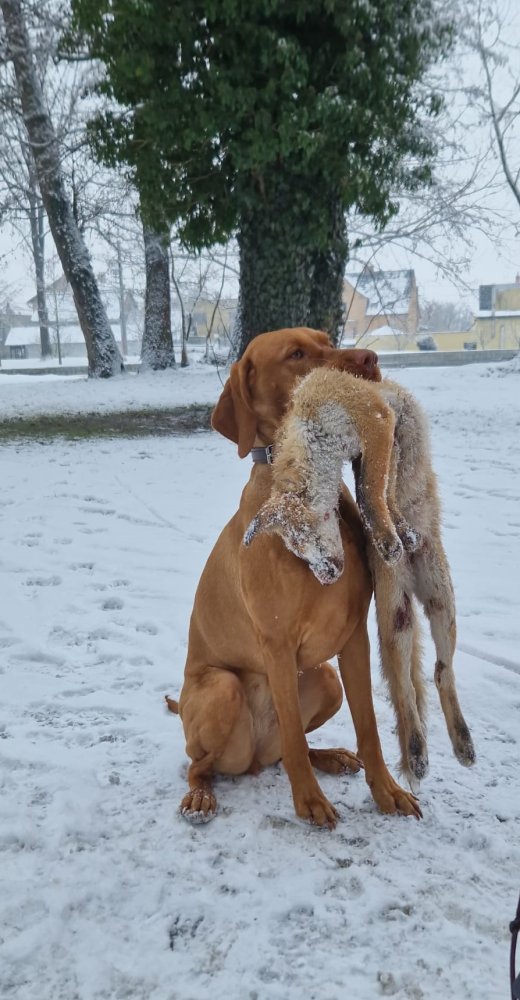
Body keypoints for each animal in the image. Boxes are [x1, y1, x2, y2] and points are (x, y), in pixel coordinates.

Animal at [168, 328, 420, 827]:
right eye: (296, 354)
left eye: (326, 338)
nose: (370, 358)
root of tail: (251, 760)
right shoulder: (277, 643)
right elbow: (293, 736)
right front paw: (309, 802)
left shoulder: (353, 638)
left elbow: (368, 727)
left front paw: (387, 792)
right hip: (222, 689)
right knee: (203, 764)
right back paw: (201, 795)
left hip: (325, 677)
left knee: (285, 749)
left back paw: (332, 756)